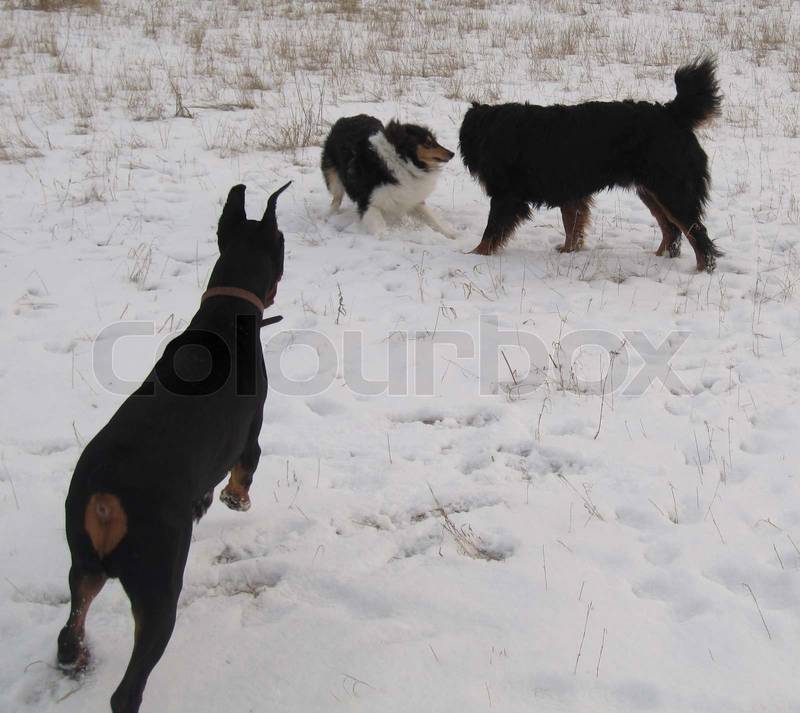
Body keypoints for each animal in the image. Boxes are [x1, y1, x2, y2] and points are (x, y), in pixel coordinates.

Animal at [56, 182, 291, 713]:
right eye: (284, 245)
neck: (226, 316)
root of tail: (108, 497)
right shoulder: (250, 435)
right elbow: (246, 471)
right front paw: (236, 500)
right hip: (159, 583)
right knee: (128, 688)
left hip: (84, 562)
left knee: (70, 626)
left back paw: (76, 657)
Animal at [321, 114, 457, 240]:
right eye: (428, 142)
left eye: (434, 140)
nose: (452, 154)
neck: (401, 161)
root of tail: (345, 119)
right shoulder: (369, 202)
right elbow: (380, 227)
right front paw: (385, 237)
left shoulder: (412, 197)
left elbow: (432, 219)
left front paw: (450, 234)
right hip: (333, 178)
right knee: (336, 200)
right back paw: (327, 216)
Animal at [459, 57, 723, 271]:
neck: (495, 130)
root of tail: (673, 113)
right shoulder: (569, 191)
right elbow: (571, 226)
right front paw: (568, 252)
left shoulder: (506, 196)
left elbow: (491, 231)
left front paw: (474, 255)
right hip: (651, 191)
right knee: (672, 230)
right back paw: (659, 258)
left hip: (671, 190)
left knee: (698, 234)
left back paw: (702, 269)